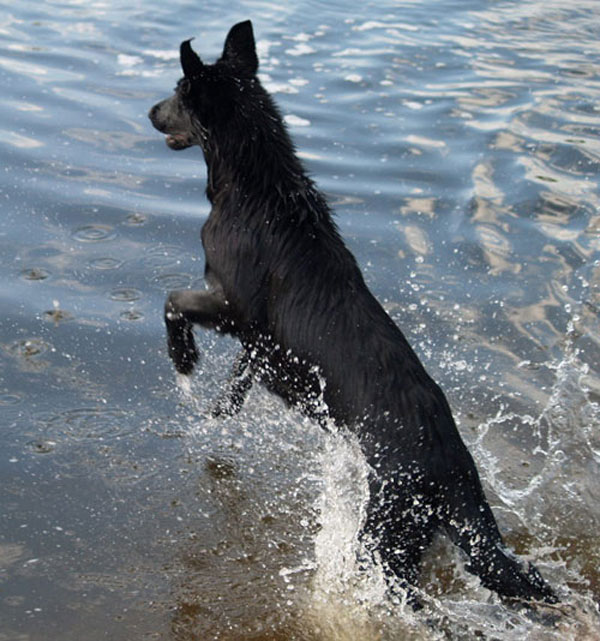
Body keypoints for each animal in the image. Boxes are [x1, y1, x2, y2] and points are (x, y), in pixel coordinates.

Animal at [150, 17, 556, 604]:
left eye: (180, 93)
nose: (150, 112)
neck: (257, 187)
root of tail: (454, 470)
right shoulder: (258, 342)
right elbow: (241, 376)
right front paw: (221, 408)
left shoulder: (231, 302)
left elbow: (173, 303)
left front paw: (183, 360)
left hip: (389, 529)